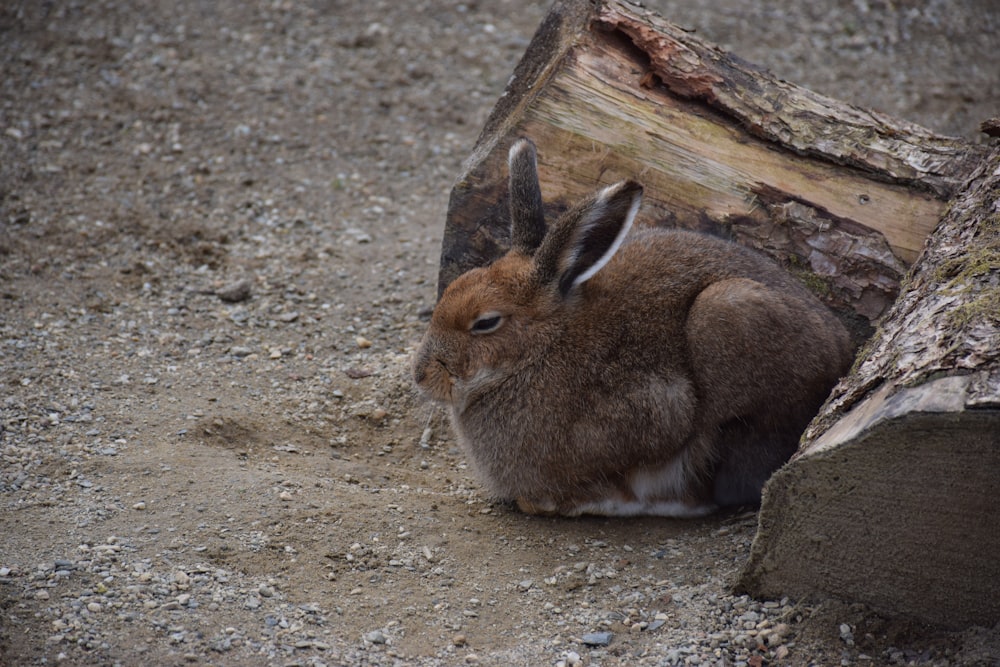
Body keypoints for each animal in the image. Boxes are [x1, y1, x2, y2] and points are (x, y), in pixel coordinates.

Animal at [412, 140, 852, 516]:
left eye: (485, 322)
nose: (421, 376)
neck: (542, 347)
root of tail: (844, 350)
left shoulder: (655, 410)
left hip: (728, 312)